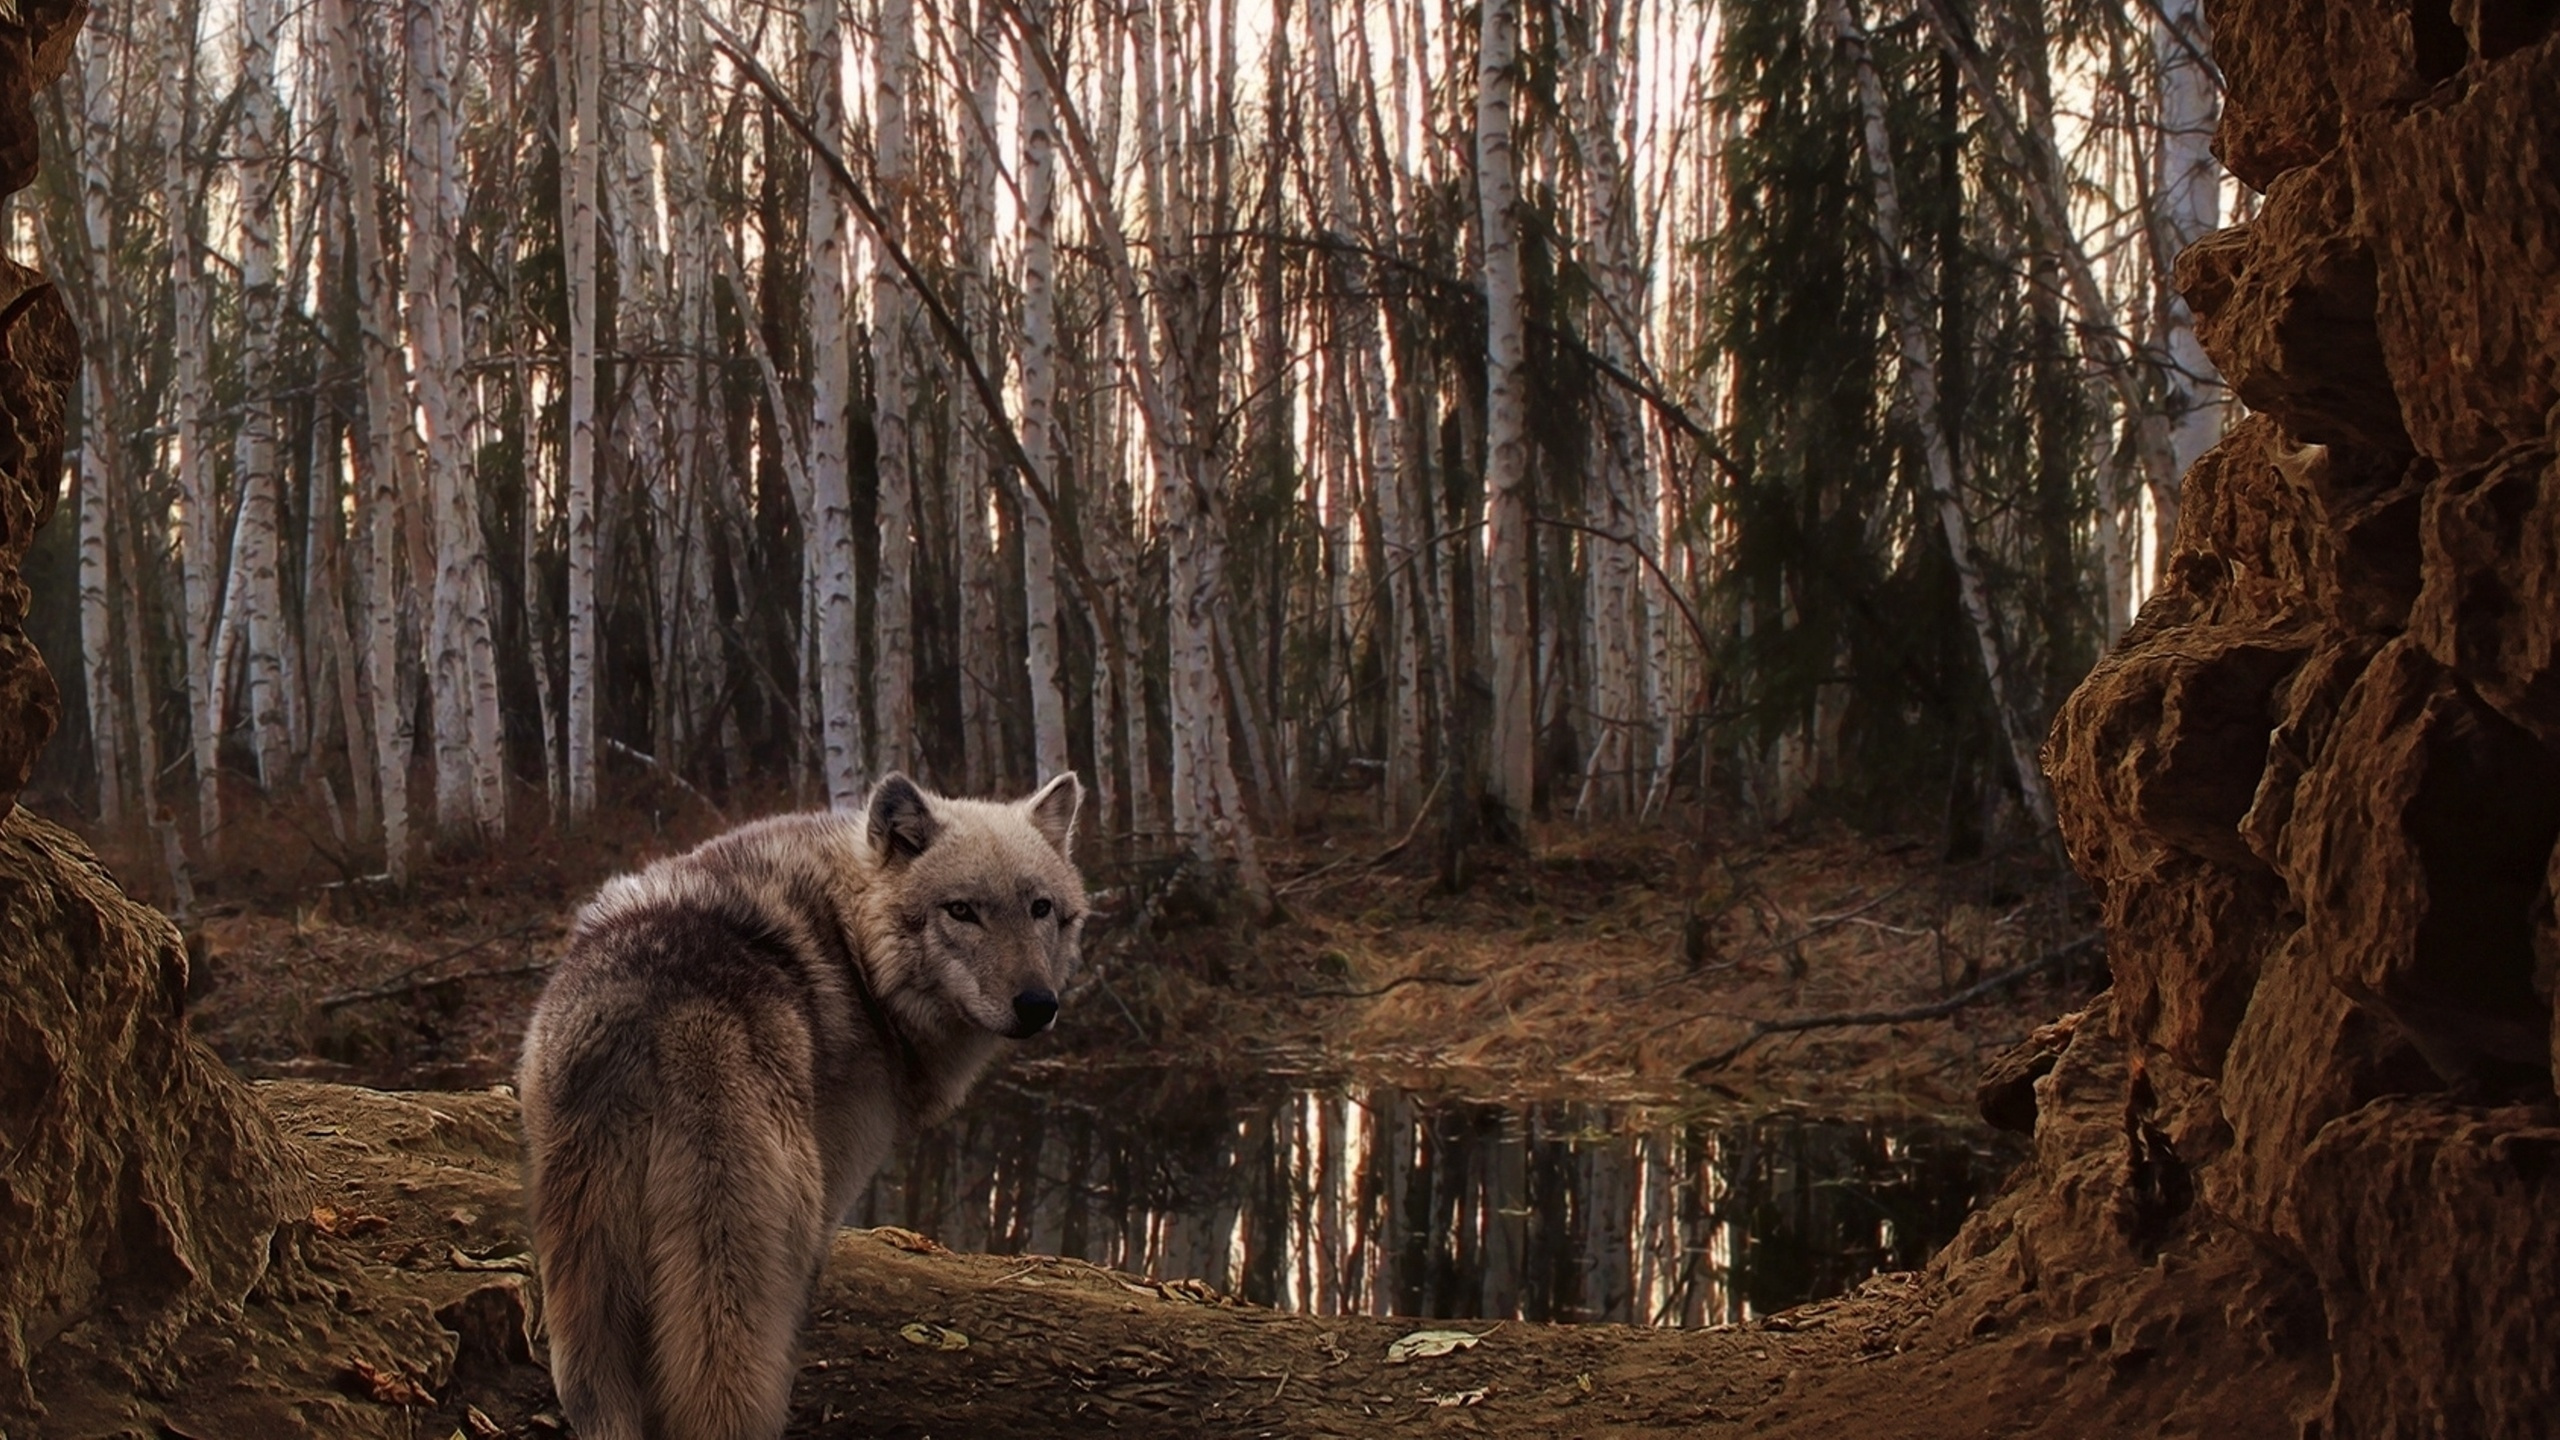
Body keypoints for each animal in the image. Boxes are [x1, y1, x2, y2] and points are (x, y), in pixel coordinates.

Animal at [517, 771, 1085, 1440]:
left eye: (1040, 908)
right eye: (962, 910)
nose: (1038, 1004)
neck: (855, 951)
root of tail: (663, 1011)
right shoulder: (832, 1195)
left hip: (586, 1278)